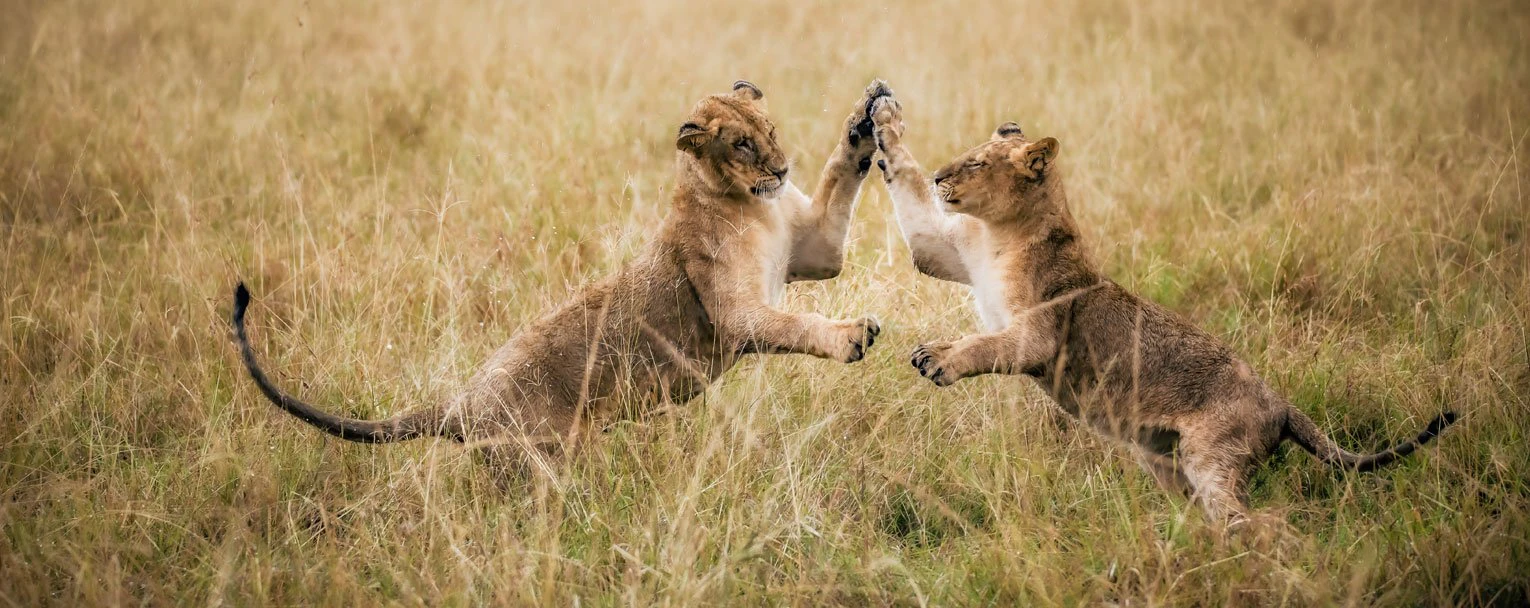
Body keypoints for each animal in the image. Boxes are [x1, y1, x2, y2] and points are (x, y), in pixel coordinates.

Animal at [233, 80, 888, 476]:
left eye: (769, 131)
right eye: (741, 145)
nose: (780, 168)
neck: (753, 205)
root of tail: (459, 403)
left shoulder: (815, 248)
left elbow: (840, 174)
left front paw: (866, 121)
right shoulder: (735, 317)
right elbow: (798, 323)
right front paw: (852, 335)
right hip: (548, 461)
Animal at [867, 85, 1457, 523]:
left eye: (977, 164)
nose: (942, 178)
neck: (1000, 235)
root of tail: (1280, 403)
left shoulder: (1040, 331)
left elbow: (984, 344)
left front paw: (938, 358)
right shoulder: (944, 251)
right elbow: (908, 189)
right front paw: (884, 122)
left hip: (1214, 457)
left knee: (1258, 524)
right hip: (1167, 463)